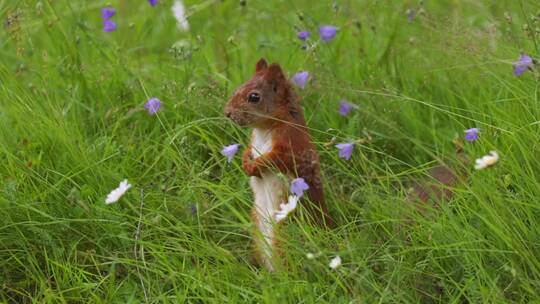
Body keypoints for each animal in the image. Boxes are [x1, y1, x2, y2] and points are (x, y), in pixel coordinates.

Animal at [221, 58, 332, 272]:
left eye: (254, 97)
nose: (227, 113)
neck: (264, 128)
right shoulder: (253, 142)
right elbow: (248, 150)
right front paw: (246, 162)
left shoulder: (291, 144)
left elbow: (274, 159)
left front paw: (255, 165)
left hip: (286, 229)